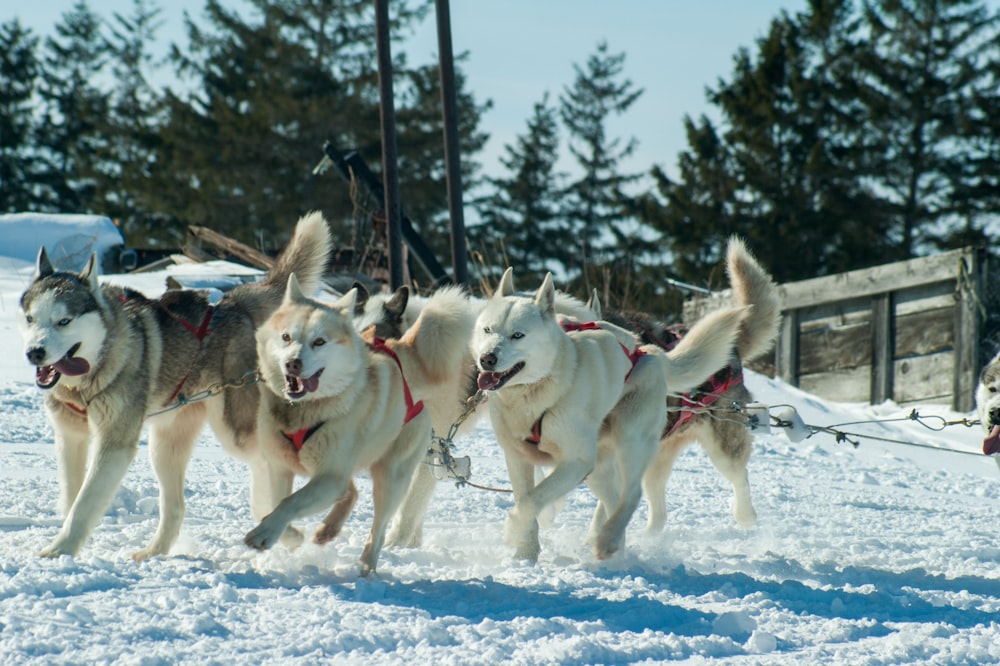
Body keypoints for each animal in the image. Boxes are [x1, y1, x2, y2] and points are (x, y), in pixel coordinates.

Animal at [20, 211, 332, 556]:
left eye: (64, 321)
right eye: (31, 319)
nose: (34, 352)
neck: (89, 375)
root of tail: (234, 303)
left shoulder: (114, 442)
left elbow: (84, 503)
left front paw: (58, 551)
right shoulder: (70, 437)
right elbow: (71, 500)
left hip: (235, 430)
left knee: (266, 462)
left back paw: (283, 529)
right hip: (165, 444)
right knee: (176, 506)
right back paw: (153, 552)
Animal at [244, 274, 474, 572]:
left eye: (319, 342)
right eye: (286, 337)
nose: (292, 363)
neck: (306, 410)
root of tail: (399, 352)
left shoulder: (330, 477)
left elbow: (289, 502)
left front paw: (265, 532)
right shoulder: (280, 466)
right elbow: (275, 502)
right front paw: (287, 534)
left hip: (390, 477)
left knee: (378, 527)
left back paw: (367, 566)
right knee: (350, 491)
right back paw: (328, 529)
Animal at [468, 268, 744, 556]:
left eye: (518, 335)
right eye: (488, 329)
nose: (487, 358)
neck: (535, 394)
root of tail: (647, 352)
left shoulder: (576, 461)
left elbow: (531, 501)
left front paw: (513, 531)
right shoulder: (517, 458)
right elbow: (527, 500)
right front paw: (526, 553)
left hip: (630, 441)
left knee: (632, 494)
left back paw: (609, 540)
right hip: (598, 468)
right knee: (613, 498)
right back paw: (614, 546)